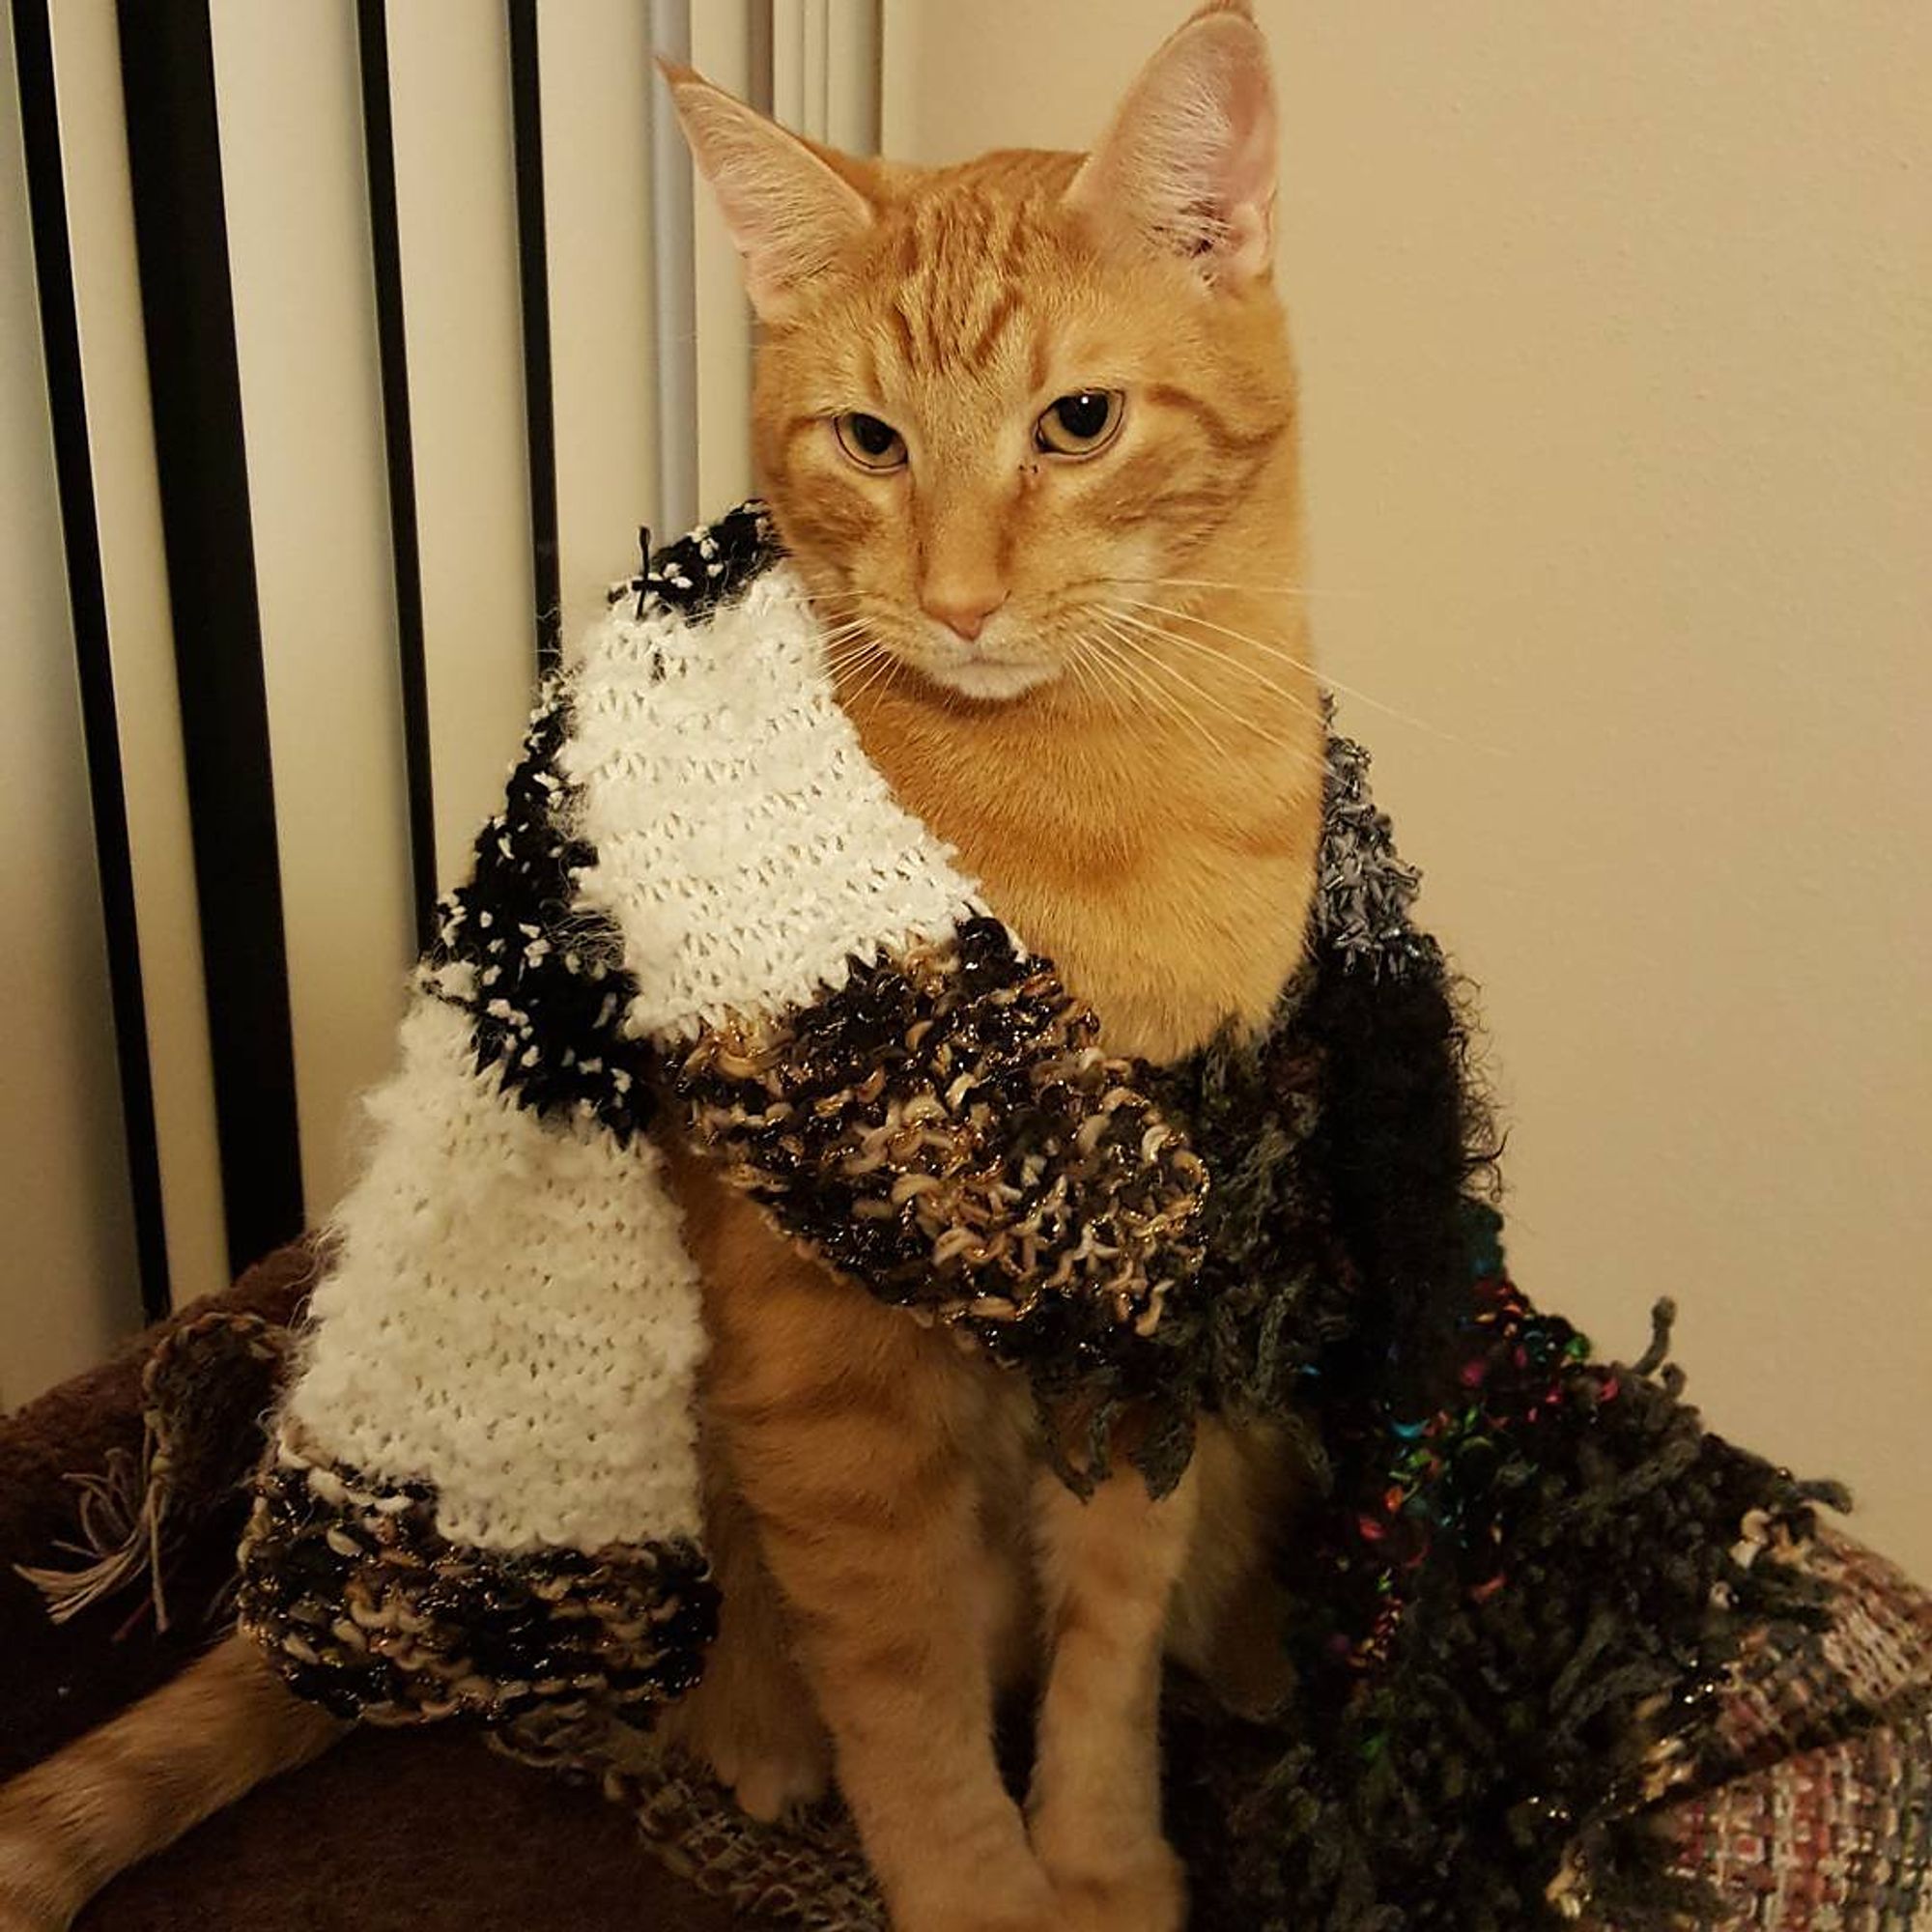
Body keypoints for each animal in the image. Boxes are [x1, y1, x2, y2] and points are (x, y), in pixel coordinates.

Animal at [0, 7, 1321, 1924]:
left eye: (1077, 424)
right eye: (868, 441)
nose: (959, 602)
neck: (1115, 804)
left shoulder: (1157, 1323)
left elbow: (1111, 1650)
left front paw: (1100, 1861)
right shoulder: (830, 1392)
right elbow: (909, 1700)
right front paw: (984, 1892)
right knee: (751, 1676)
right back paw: (760, 1750)